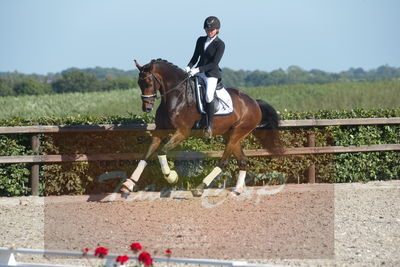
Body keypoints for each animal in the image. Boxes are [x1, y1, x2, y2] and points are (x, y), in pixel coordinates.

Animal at [122, 58, 282, 197]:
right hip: (230, 135)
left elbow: (161, 151)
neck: (176, 97)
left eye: (148, 82)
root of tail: (254, 102)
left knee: (224, 161)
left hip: (238, 133)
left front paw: (171, 176)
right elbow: (146, 154)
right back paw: (237, 190)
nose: (147, 108)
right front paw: (128, 184)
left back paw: (200, 188)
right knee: (242, 160)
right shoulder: (159, 131)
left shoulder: (182, 132)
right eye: (139, 83)